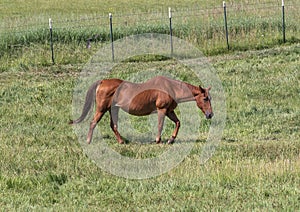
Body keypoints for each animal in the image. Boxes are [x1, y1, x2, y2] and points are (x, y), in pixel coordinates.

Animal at [69, 76, 213, 144]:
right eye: (205, 98)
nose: (210, 114)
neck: (170, 88)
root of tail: (103, 82)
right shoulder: (162, 110)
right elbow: (160, 125)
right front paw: (158, 140)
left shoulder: (169, 111)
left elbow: (178, 123)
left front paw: (171, 140)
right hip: (102, 109)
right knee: (93, 123)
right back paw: (88, 141)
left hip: (113, 109)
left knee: (113, 125)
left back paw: (121, 141)